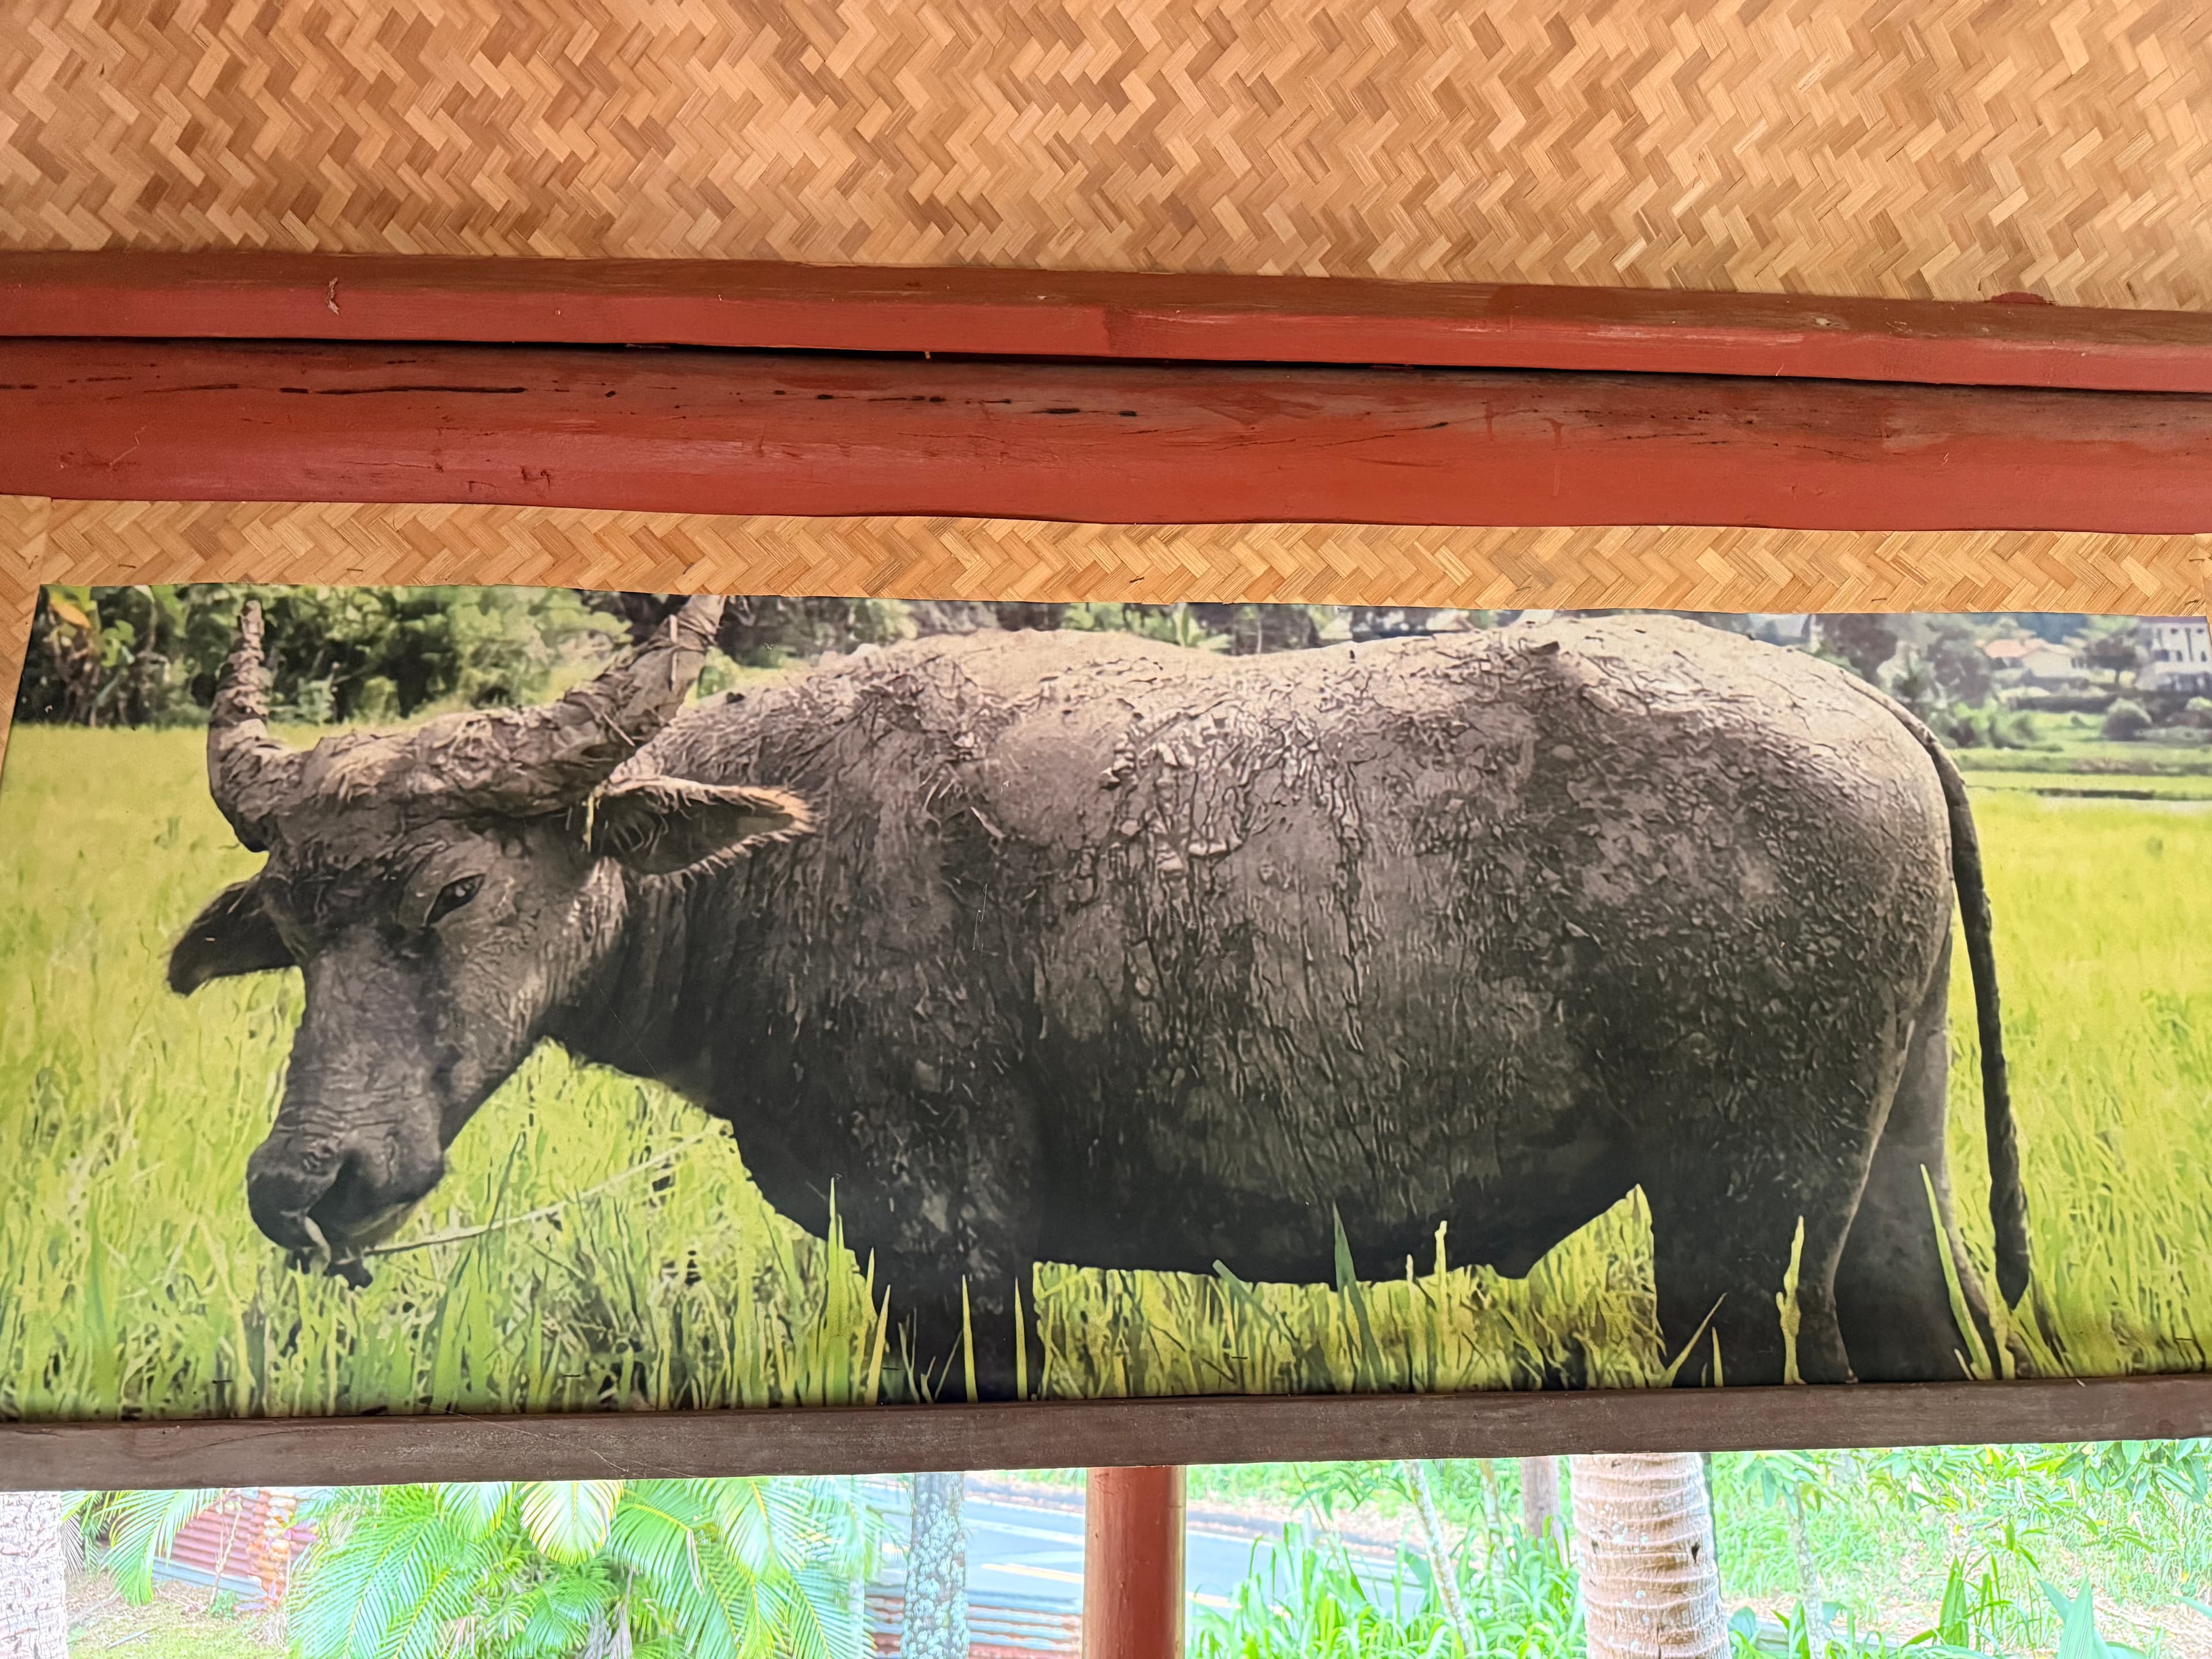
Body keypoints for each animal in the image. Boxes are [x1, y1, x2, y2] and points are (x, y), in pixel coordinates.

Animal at [172, 595, 2027, 1399]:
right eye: (294, 921)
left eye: (454, 891)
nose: (301, 1183)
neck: (778, 859)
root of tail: (1872, 714)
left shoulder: (947, 1234)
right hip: (1894, 1176)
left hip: (1739, 1211)